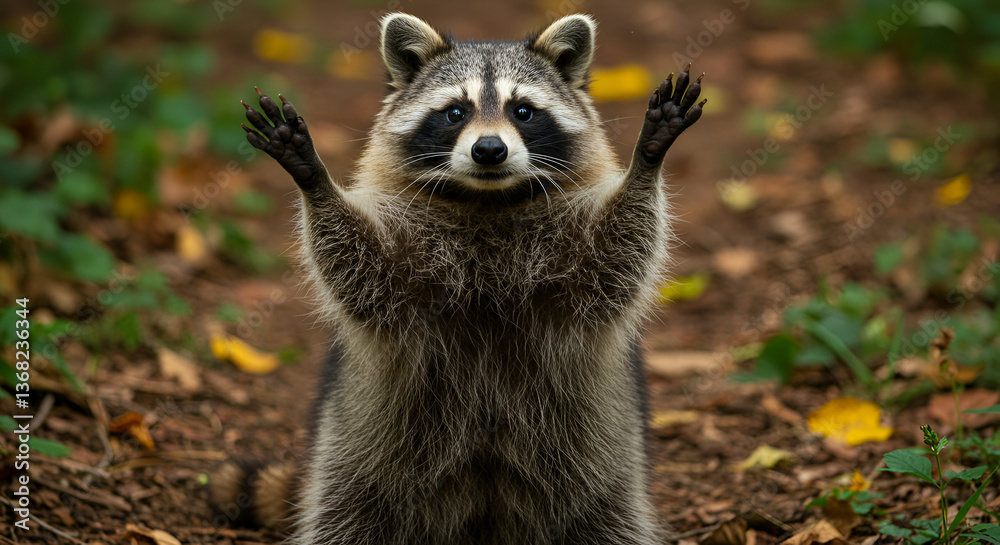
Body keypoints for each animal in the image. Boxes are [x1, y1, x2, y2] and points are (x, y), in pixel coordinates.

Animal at [212, 12, 705, 544]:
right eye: (454, 113)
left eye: (523, 111)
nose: (489, 149)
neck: (487, 199)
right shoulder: (407, 265)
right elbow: (362, 271)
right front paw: (314, 179)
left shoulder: (570, 270)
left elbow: (614, 258)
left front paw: (646, 161)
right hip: (357, 453)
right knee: (348, 514)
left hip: (602, 464)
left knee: (604, 517)